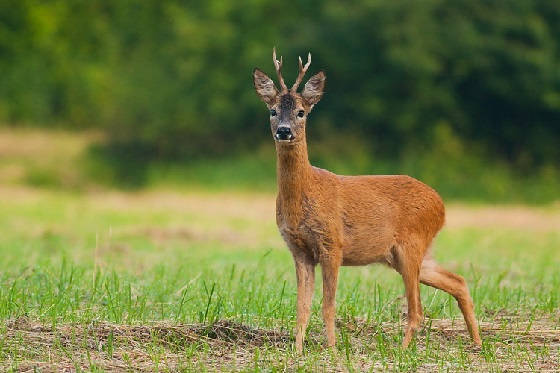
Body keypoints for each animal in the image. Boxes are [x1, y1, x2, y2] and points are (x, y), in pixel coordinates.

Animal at [253, 47, 482, 352]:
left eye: (302, 112)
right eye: (273, 110)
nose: (284, 130)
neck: (305, 195)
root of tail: (441, 205)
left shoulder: (332, 243)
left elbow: (328, 305)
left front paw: (333, 349)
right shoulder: (299, 249)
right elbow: (302, 306)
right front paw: (297, 350)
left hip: (411, 244)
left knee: (417, 309)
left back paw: (402, 350)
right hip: (406, 253)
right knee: (458, 281)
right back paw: (476, 342)